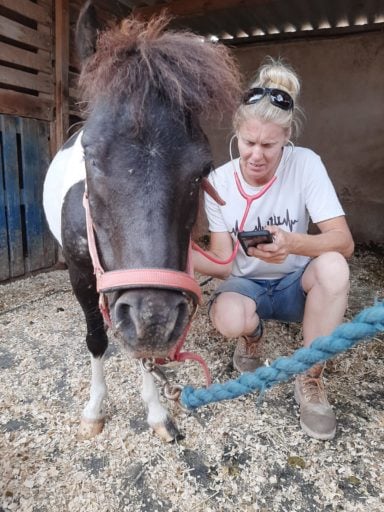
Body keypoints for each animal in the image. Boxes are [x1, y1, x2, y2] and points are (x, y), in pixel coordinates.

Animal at [42, 0, 240, 440]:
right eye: (90, 156)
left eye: (203, 168)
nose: (154, 319)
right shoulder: (82, 273)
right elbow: (97, 339)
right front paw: (94, 410)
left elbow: (143, 355)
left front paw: (156, 411)